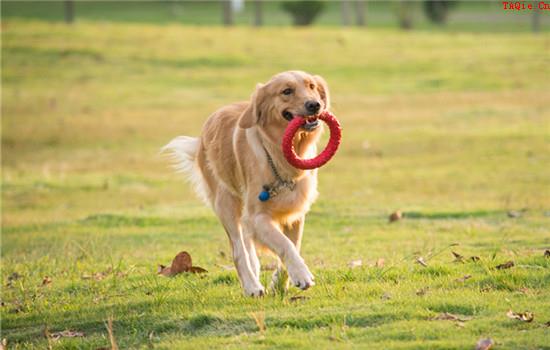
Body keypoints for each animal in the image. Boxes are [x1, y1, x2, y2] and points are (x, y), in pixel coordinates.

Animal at [162, 72, 330, 296]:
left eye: (311, 86)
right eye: (286, 91)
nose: (315, 105)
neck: (278, 155)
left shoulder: (294, 213)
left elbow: (294, 244)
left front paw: (280, 283)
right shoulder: (257, 217)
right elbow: (284, 244)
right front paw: (302, 275)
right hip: (226, 204)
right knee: (238, 250)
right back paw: (251, 286)